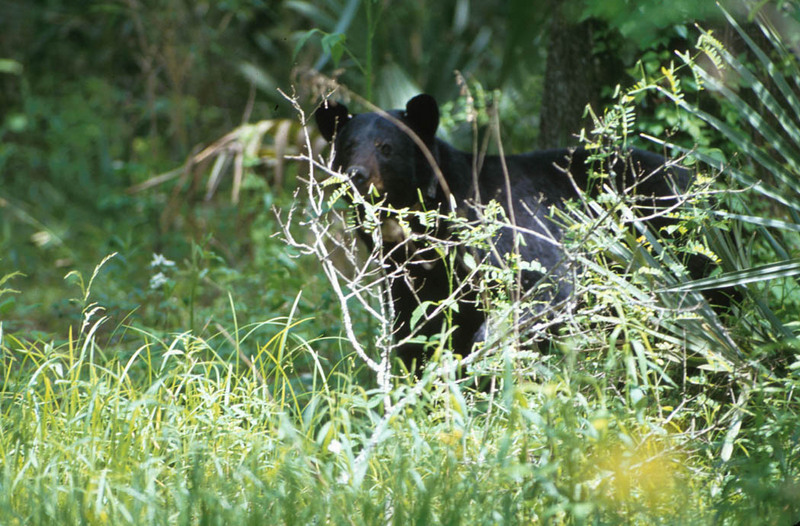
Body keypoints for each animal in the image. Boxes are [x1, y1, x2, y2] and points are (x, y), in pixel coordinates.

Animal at [316, 93, 692, 370]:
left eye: (386, 147)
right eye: (347, 146)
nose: (356, 175)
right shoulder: (406, 273)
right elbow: (416, 328)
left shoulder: (504, 229)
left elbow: (546, 286)